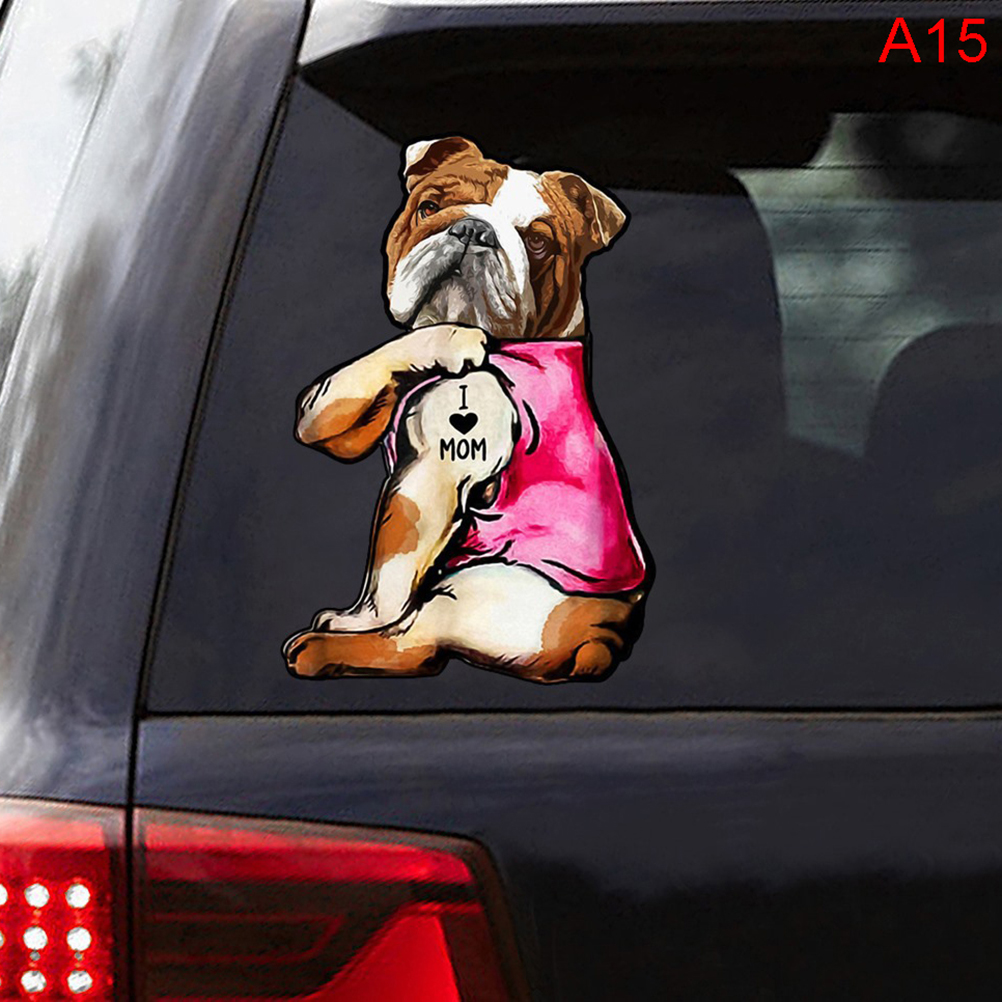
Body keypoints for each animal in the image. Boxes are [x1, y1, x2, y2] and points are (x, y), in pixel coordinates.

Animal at [284, 137, 649, 683]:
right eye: (430, 207)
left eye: (537, 243)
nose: (473, 230)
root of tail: (603, 641)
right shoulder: (354, 414)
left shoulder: (429, 480)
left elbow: (391, 568)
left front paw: (358, 624)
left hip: (473, 591)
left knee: (414, 646)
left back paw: (320, 651)